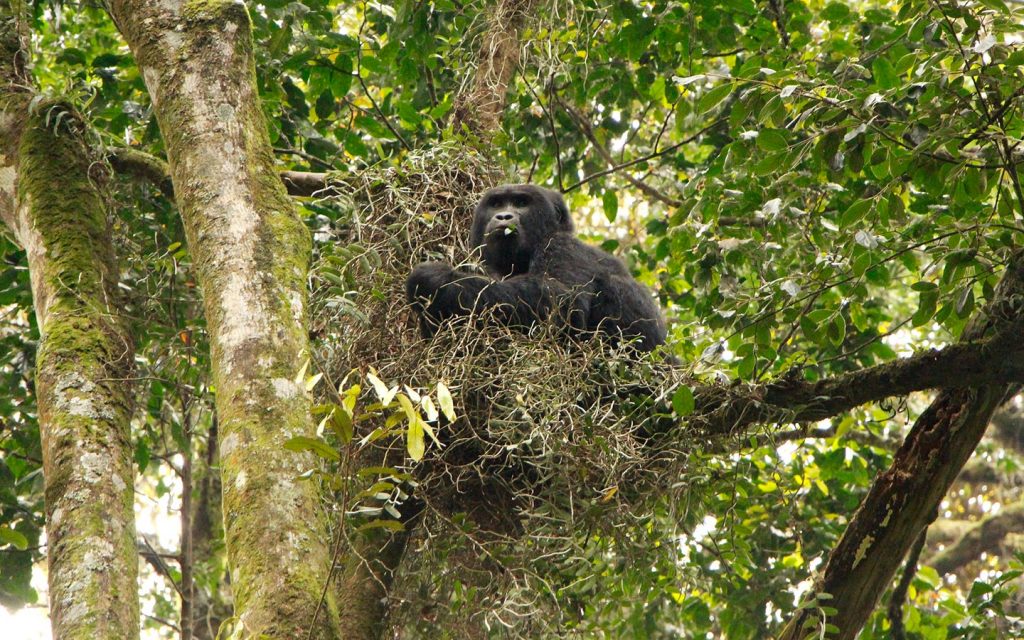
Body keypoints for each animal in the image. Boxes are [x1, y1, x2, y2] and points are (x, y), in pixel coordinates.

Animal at [407, 184, 671, 352]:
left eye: (521, 203)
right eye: (496, 204)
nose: (503, 216)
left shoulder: (561, 246)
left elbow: (562, 301)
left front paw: (437, 281)